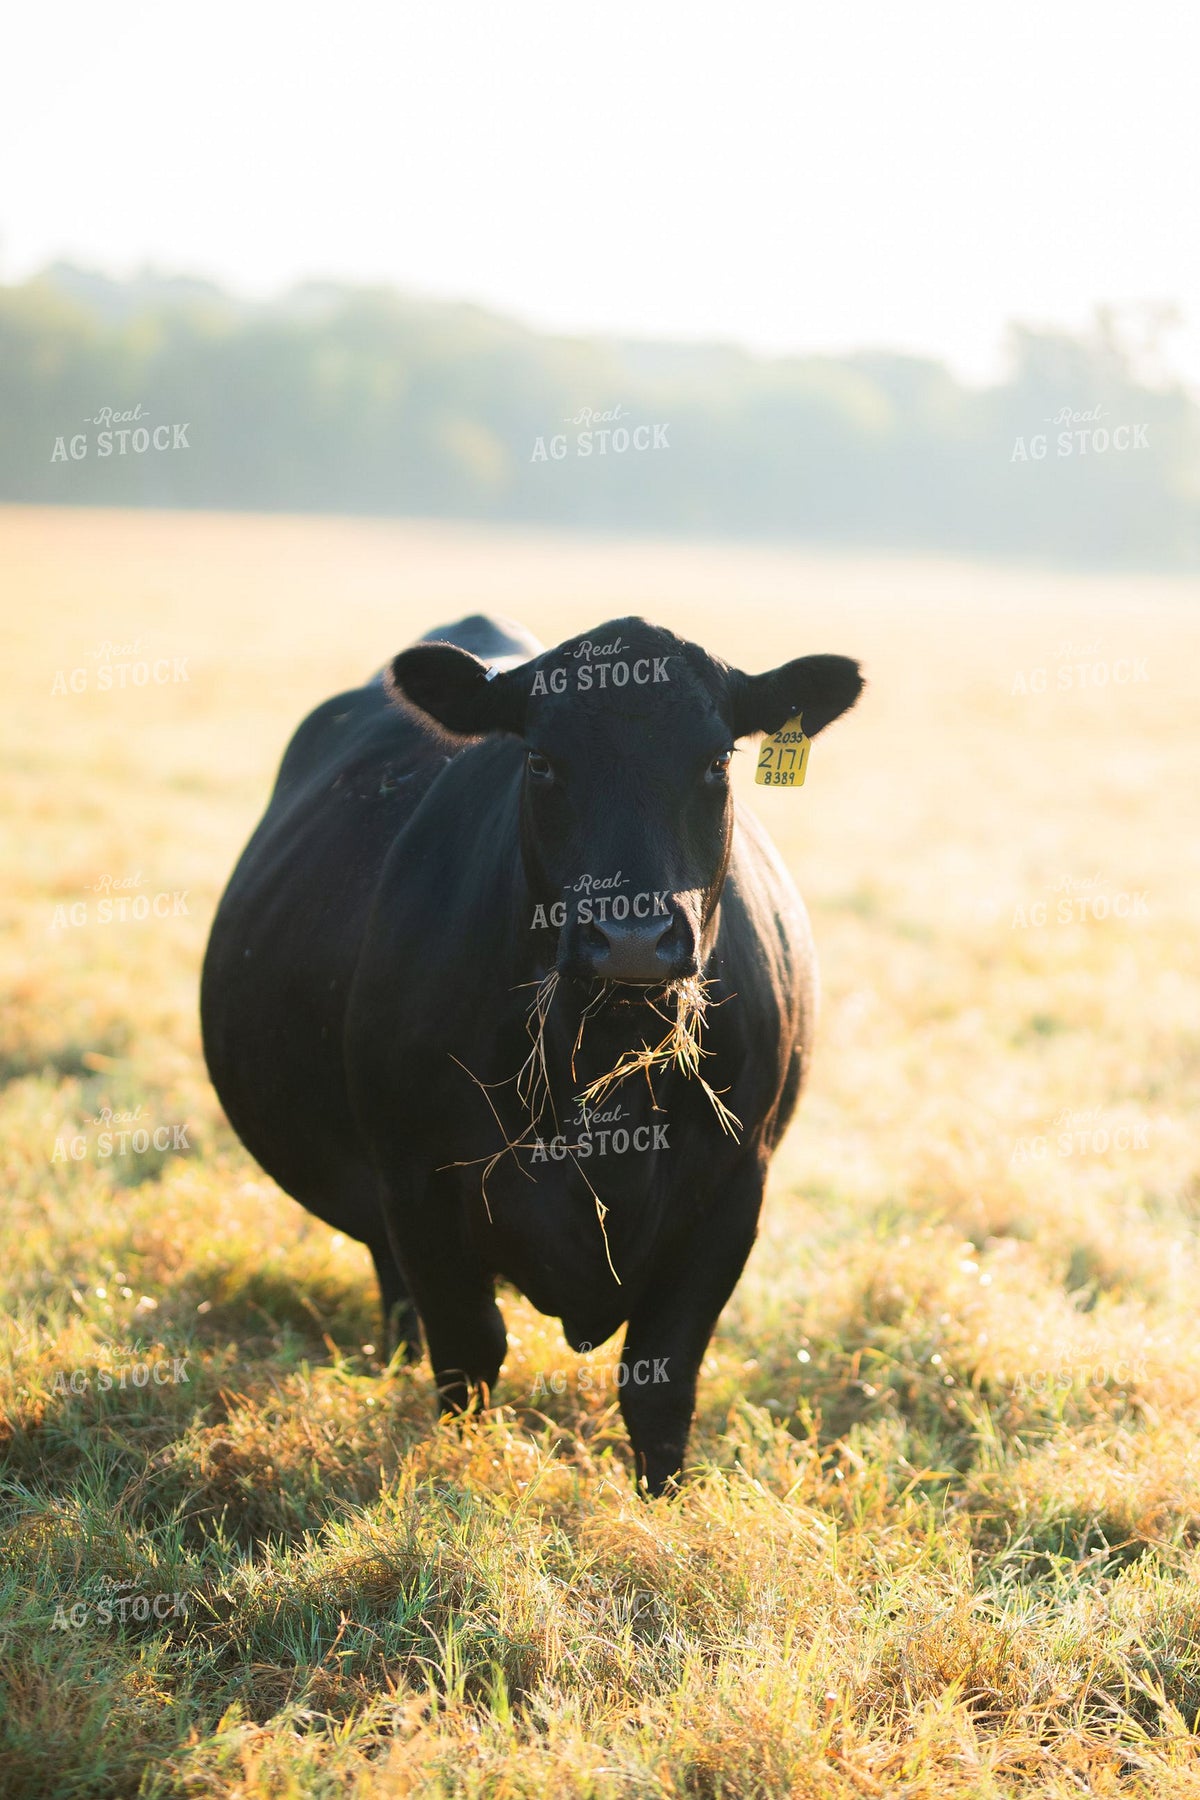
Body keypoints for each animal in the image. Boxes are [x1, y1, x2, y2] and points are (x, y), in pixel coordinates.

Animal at [200, 613, 863, 1493]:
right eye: (542, 761)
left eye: (719, 759)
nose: (632, 938)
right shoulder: (417, 1183)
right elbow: (469, 1355)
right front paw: (459, 1475)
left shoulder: (732, 1190)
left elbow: (660, 1380)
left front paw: (661, 1505)